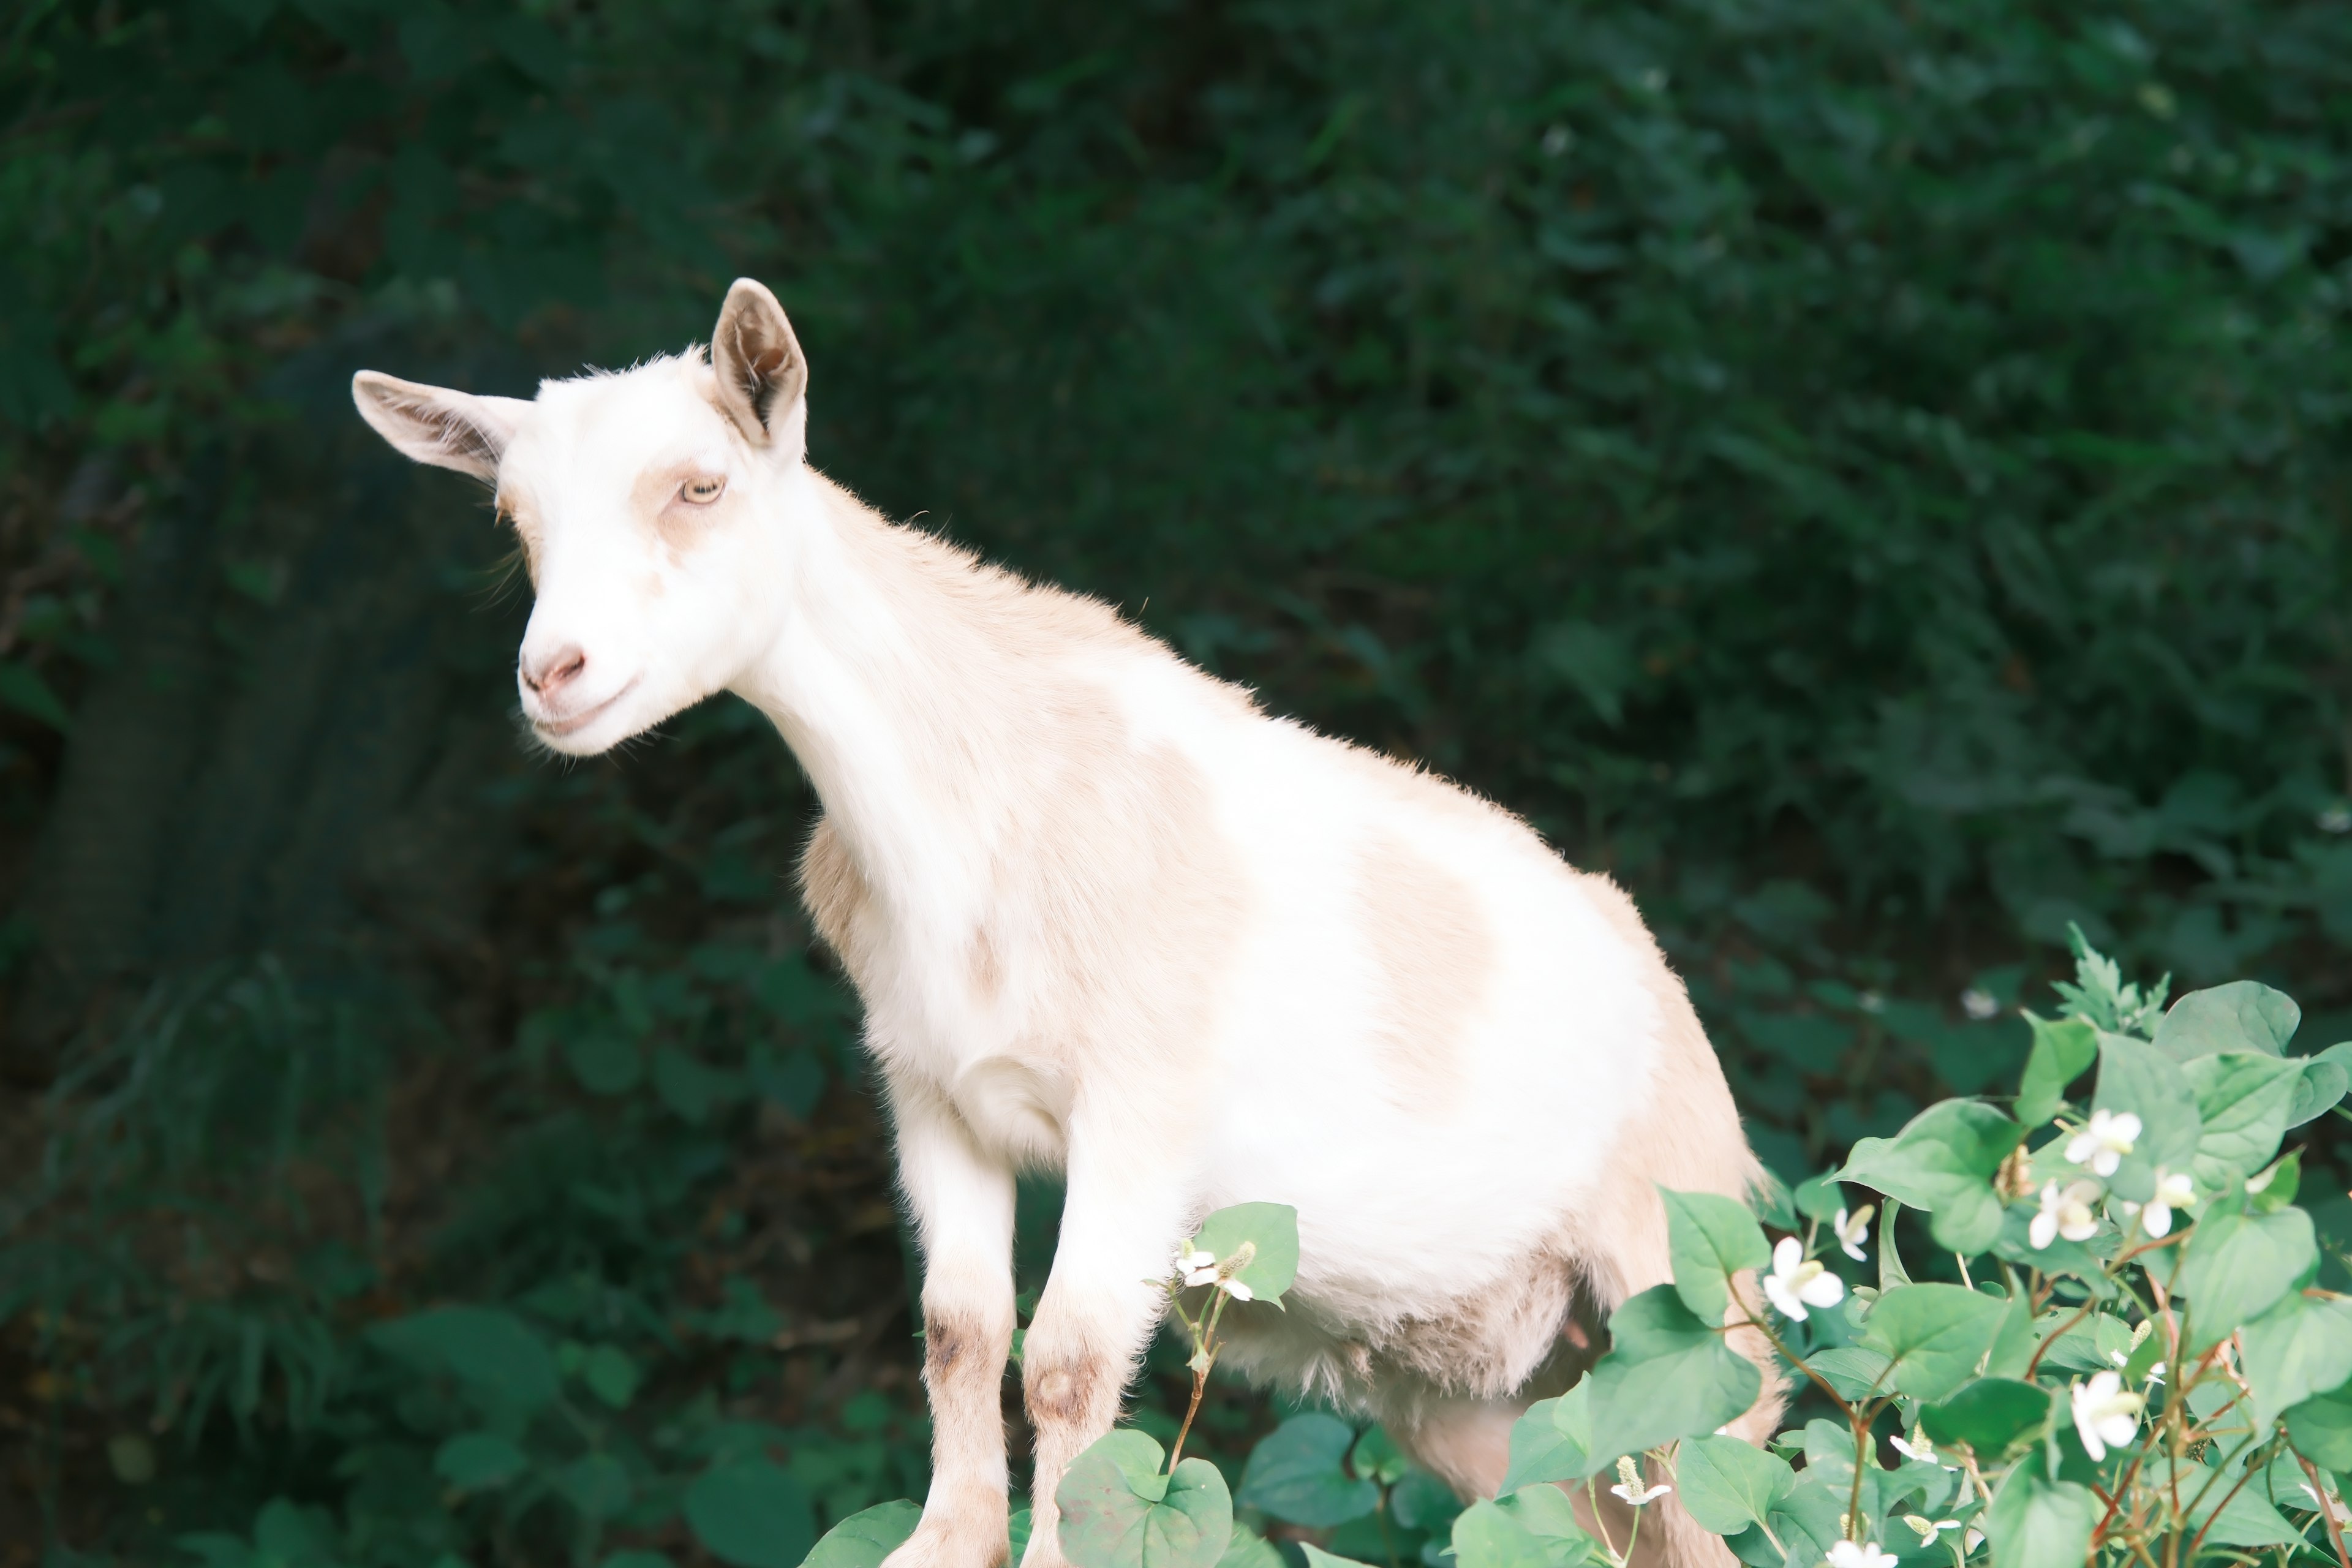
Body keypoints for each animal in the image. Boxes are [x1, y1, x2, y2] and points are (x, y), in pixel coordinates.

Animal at [348, 278, 1778, 1568]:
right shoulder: (931, 1090)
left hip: (1698, 1303)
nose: (555, 675)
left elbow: (1071, 1359)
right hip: (1488, 1399)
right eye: (512, 515)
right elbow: (962, 1324)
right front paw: (946, 1537)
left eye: (701, 486)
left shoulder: (1143, 1116)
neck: (980, 808)